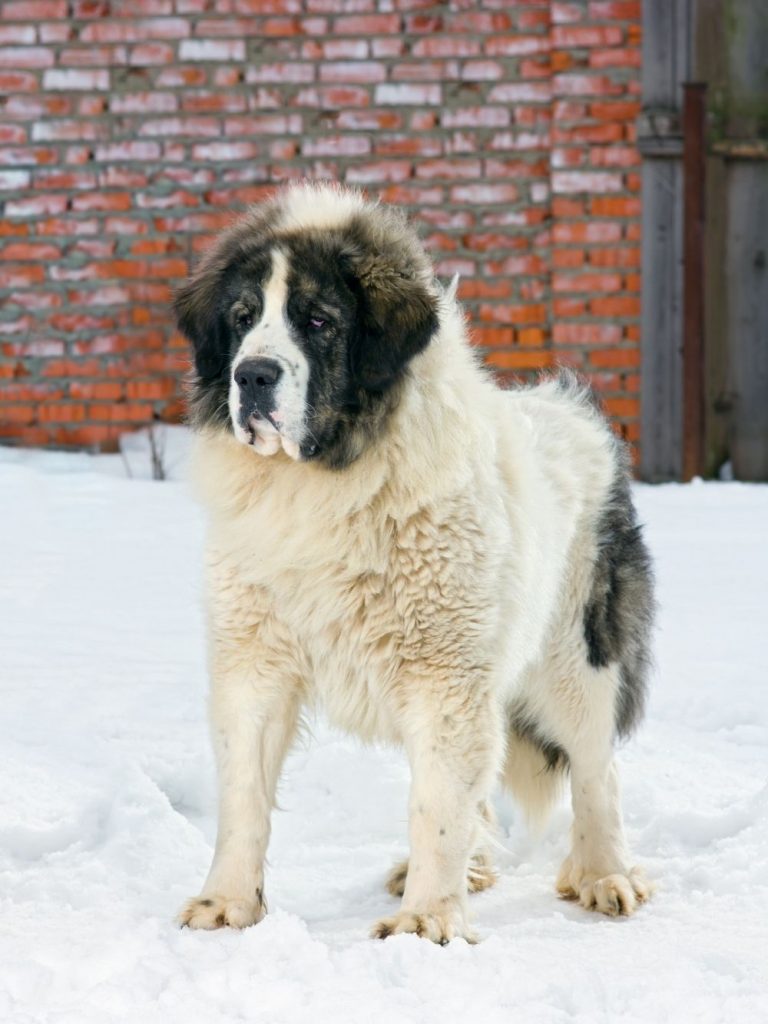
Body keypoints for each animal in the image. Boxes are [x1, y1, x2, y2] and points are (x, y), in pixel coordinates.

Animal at [173, 184, 655, 942]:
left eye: (318, 320)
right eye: (242, 319)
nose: (251, 374)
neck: (326, 483)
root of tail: (574, 412)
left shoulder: (444, 672)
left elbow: (437, 806)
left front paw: (427, 923)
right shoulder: (255, 660)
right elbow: (243, 796)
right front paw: (227, 904)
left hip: (577, 657)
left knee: (594, 767)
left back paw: (606, 875)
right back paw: (479, 870)